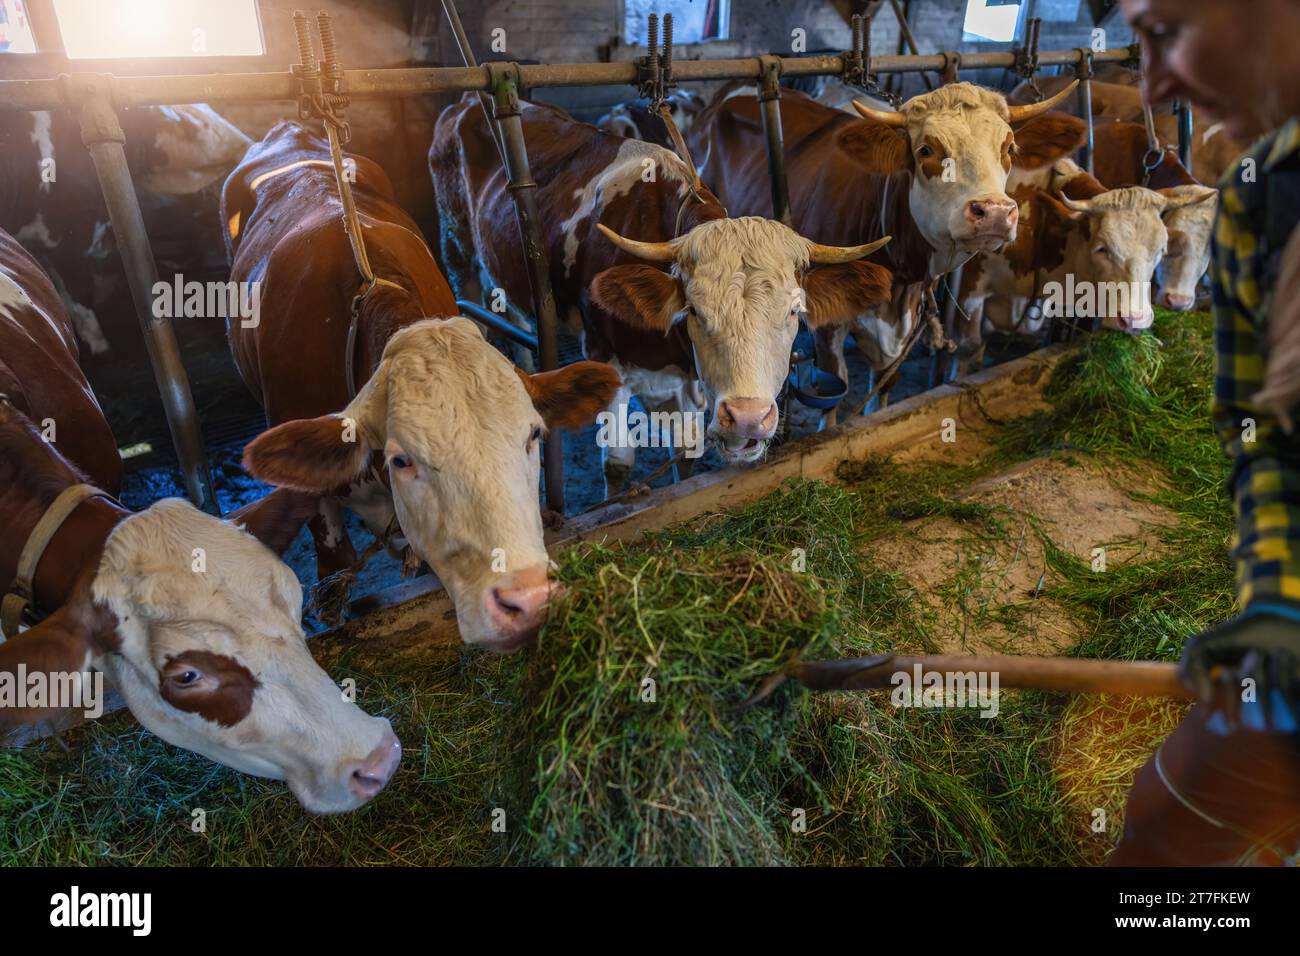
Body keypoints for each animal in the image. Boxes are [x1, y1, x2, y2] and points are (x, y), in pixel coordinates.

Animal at [431, 100, 899, 494]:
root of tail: (463, 104)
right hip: (456, 247)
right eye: (694, 311)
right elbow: (618, 462)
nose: (747, 418)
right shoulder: (604, 358)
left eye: (793, 312)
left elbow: (686, 451)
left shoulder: (684, 379)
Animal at [691, 82, 1086, 392]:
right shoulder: (827, 322)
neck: (897, 282)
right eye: (926, 150)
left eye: (1009, 148)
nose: (995, 212)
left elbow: (885, 381)